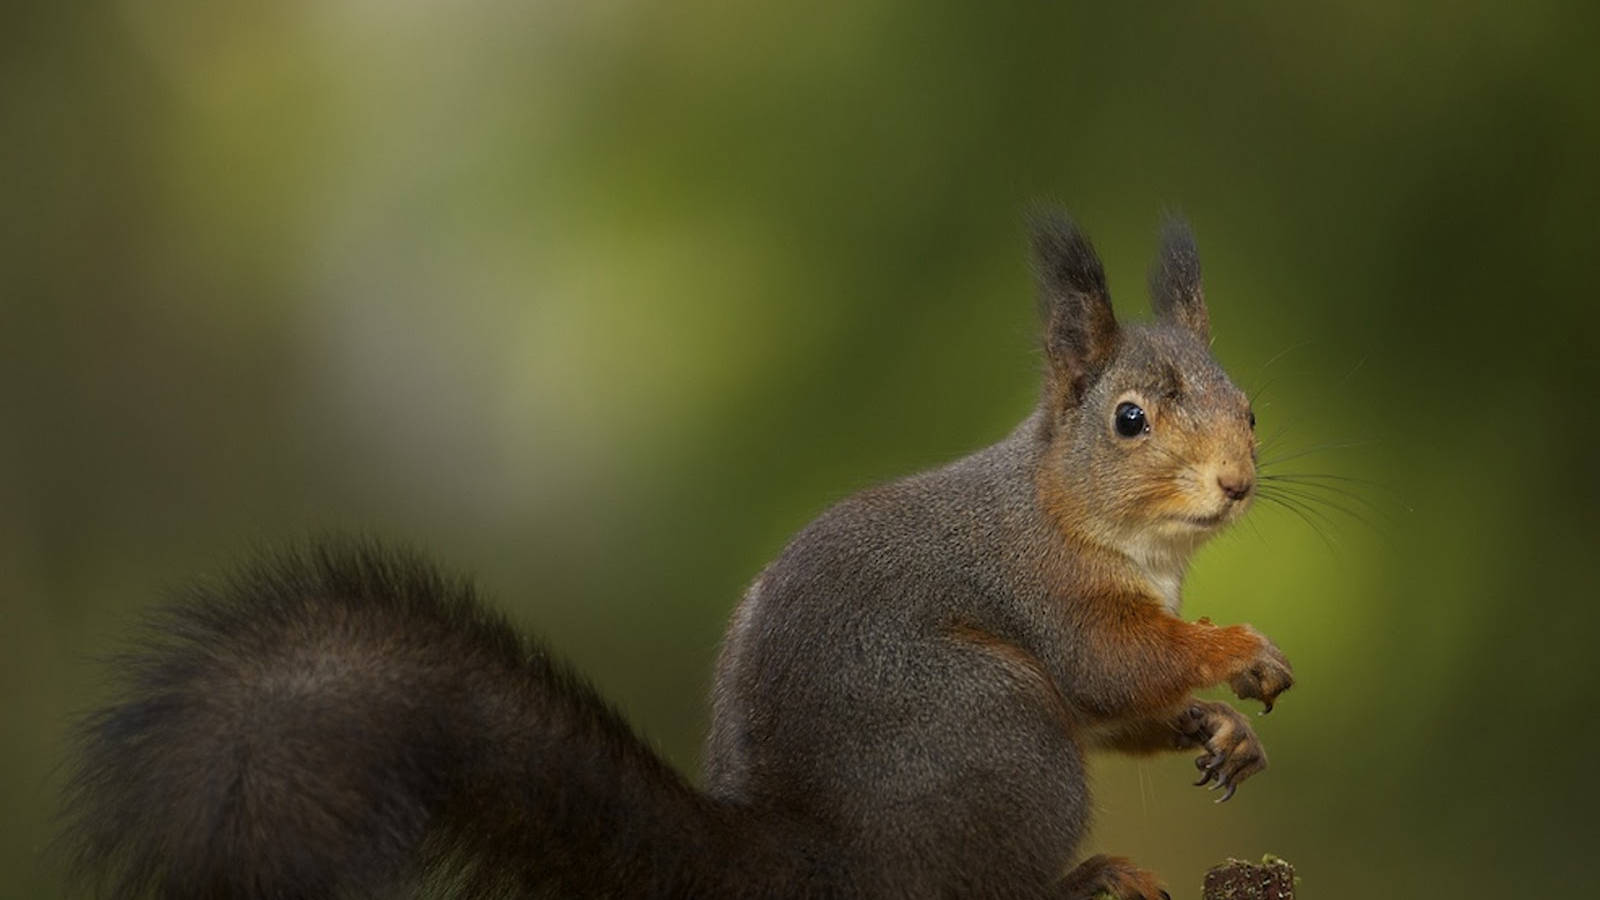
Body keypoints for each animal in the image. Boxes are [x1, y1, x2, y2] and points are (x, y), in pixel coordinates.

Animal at [62, 211, 1292, 896]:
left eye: (1249, 406)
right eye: (1129, 420)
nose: (1236, 482)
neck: (1103, 528)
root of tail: (817, 860)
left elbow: (1124, 708)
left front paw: (1218, 728)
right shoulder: (1044, 592)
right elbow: (1109, 667)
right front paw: (1234, 649)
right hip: (995, 736)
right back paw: (1083, 879)